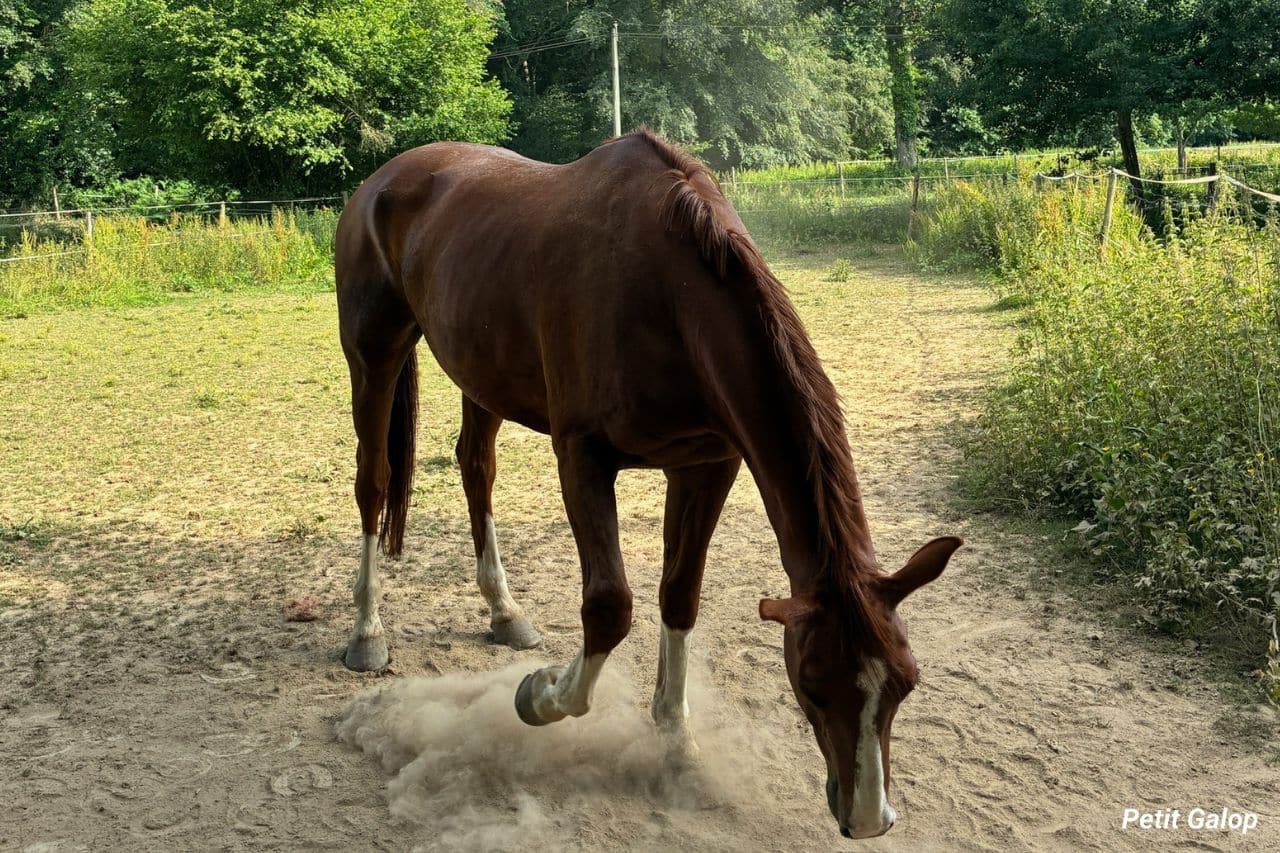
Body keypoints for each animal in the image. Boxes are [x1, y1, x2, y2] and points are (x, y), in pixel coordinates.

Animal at [334, 128, 961, 839]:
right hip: (373, 353)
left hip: (480, 372)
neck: (665, 293)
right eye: (810, 681)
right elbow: (610, 608)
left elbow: (678, 596)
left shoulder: (706, 466)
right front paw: (540, 695)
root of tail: (382, 180)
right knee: (373, 481)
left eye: (906, 681)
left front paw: (676, 741)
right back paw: (366, 632)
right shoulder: (582, 459)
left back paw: (505, 611)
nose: (868, 818)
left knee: (475, 467)